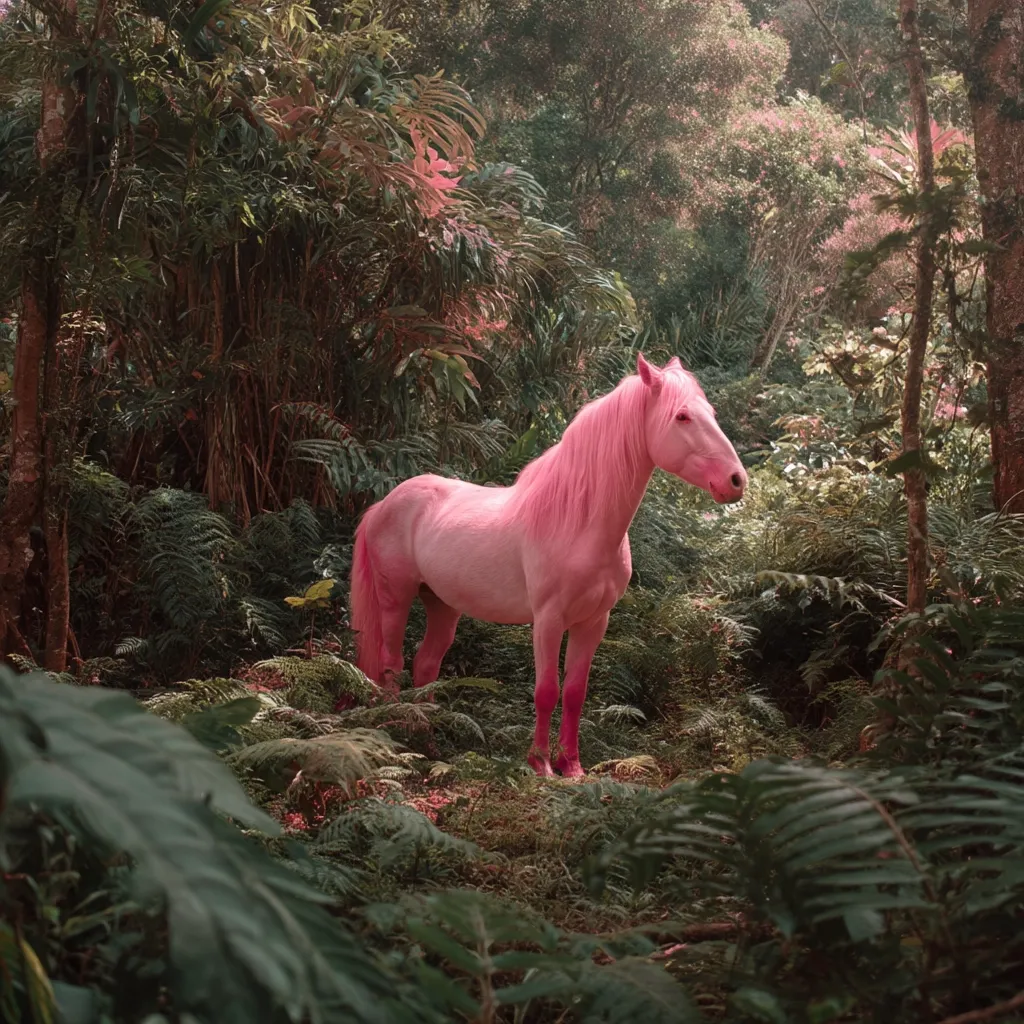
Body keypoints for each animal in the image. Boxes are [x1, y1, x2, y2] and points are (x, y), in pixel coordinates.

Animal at [349, 353, 747, 777]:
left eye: (711, 413)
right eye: (682, 416)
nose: (736, 480)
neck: (578, 521)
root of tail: (383, 504)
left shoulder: (593, 622)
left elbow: (574, 693)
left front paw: (571, 766)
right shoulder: (548, 621)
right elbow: (546, 691)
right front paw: (540, 764)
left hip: (442, 604)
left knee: (426, 666)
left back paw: (428, 741)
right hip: (396, 597)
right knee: (391, 663)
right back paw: (397, 732)